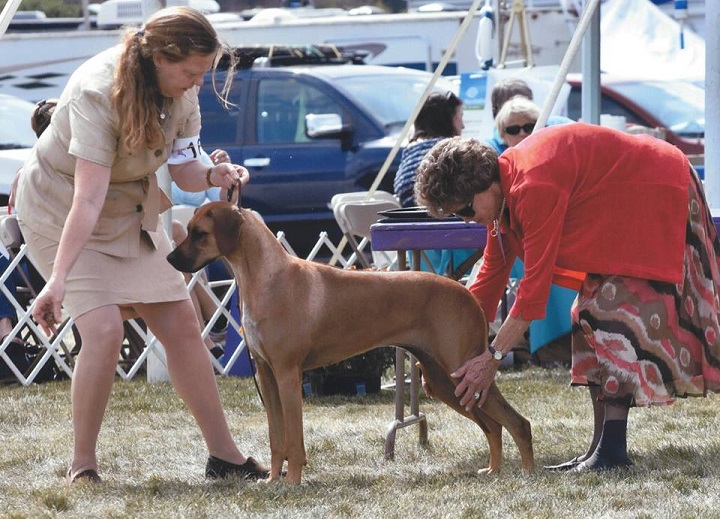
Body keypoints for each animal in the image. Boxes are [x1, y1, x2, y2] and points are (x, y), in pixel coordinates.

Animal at [166, 202, 532, 484]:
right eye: (188, 229)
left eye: (199, 234)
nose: (170, 260)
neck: (266, 278)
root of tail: (467, 295)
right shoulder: (267, 377)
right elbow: (276, 439)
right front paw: (271, 480)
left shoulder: (287, 375)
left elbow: (293, 441)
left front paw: (293, 483)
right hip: (444, 380)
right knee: (493, 427)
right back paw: (494, 470)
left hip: (460, 370)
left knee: (517, 423)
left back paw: (528, 472)